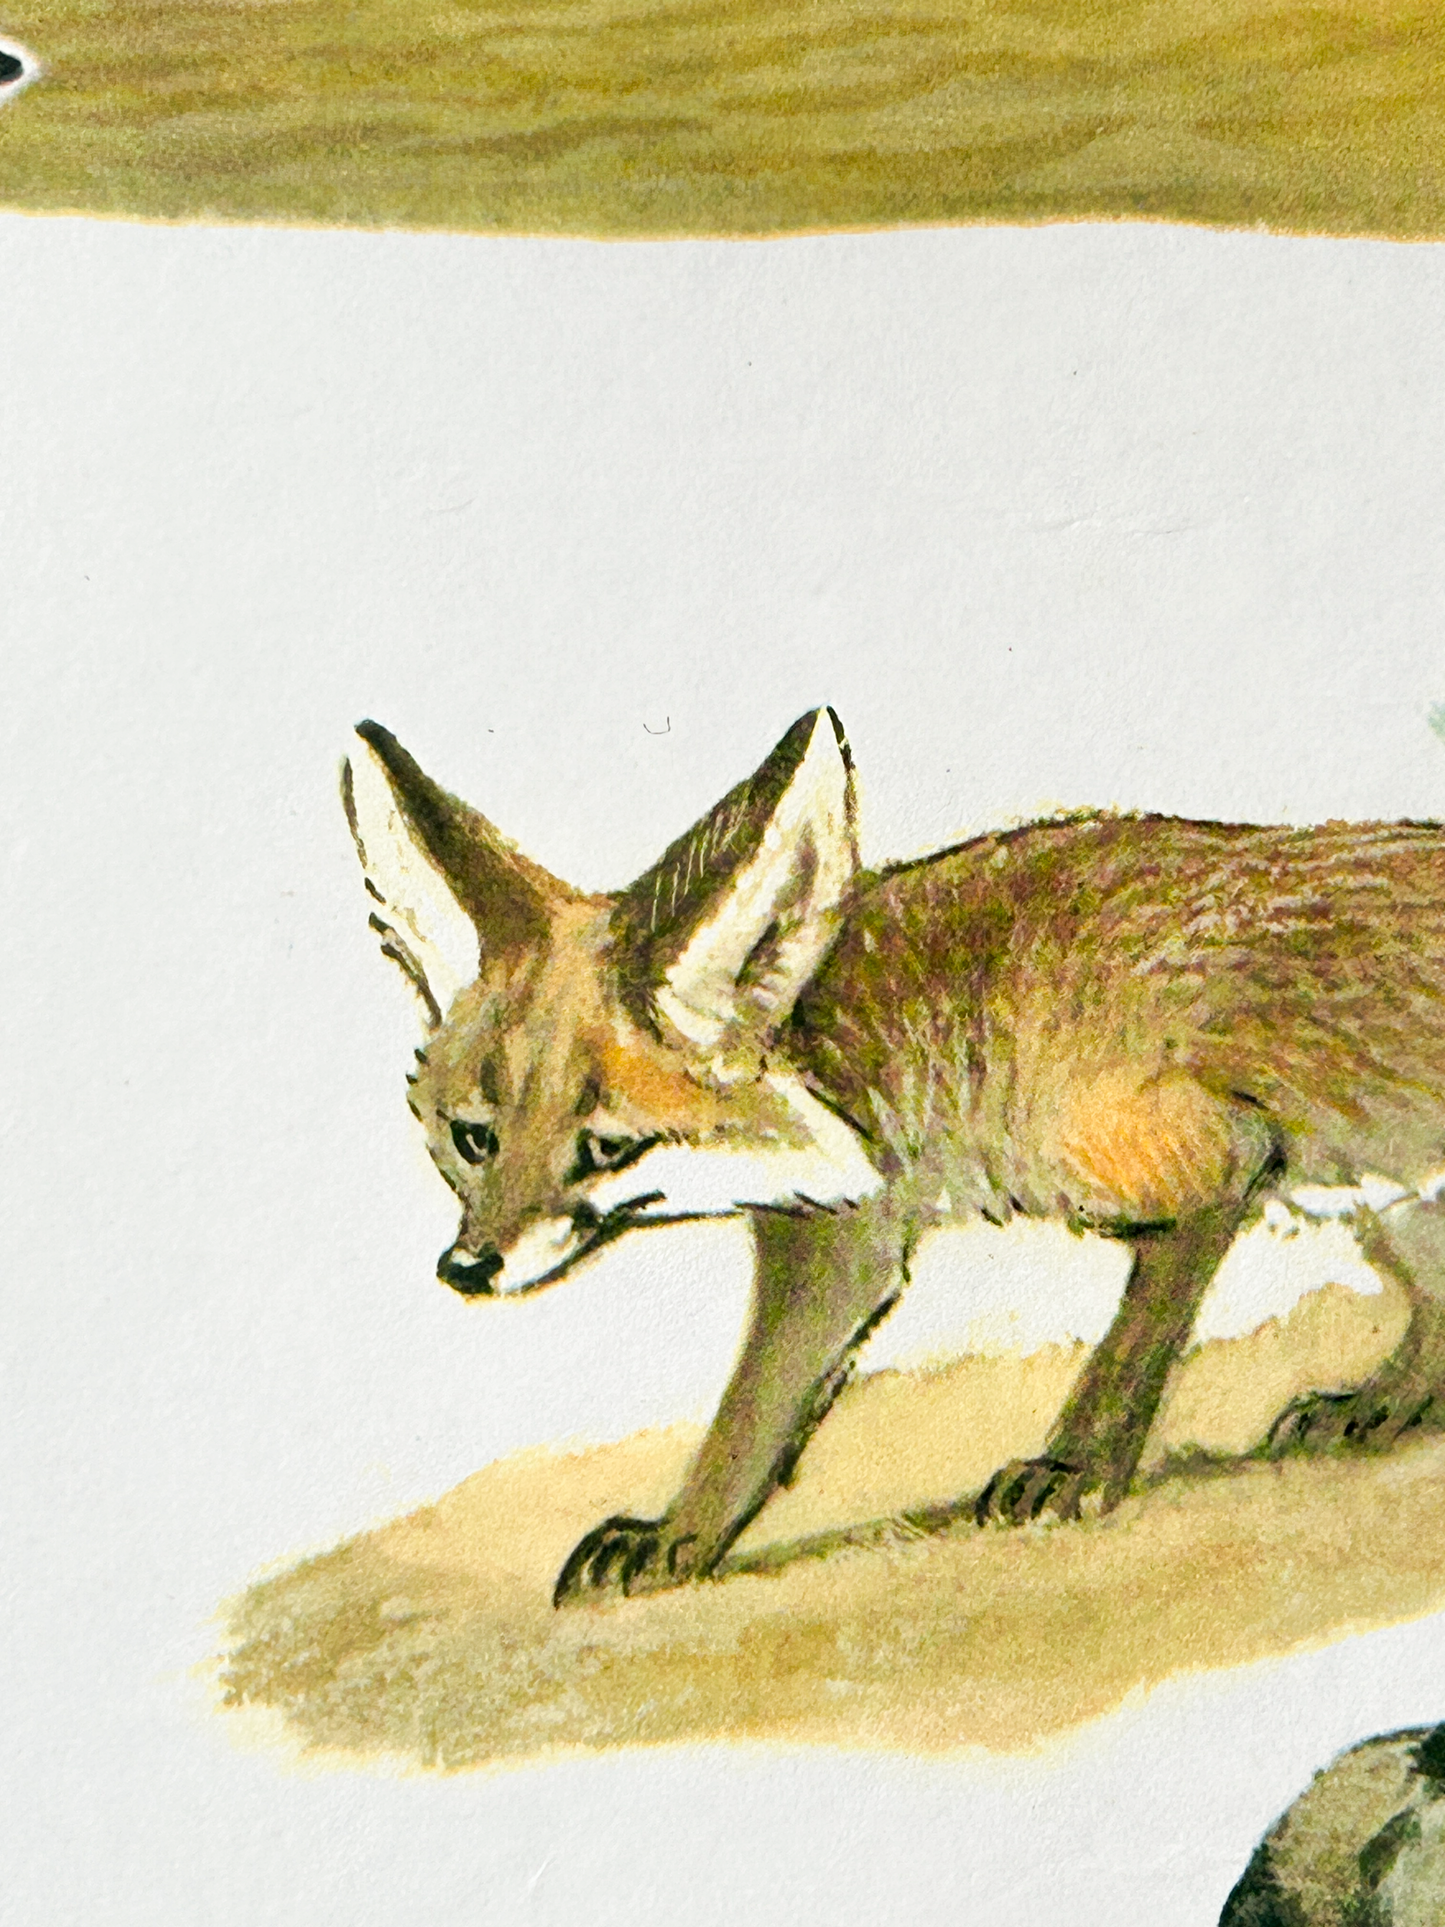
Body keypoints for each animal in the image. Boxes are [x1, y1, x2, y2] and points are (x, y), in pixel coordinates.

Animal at [342, 708, 1445, 1606]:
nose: (466, 1267)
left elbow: (1126, 1352)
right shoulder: (836, 1241)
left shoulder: (1209, 1158)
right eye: (472, 1138)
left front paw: (1074, 1468)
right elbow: (753, 1416)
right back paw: (1379, 1406)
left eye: (605, 1147)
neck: (940, 1037)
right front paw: (679, 1540)